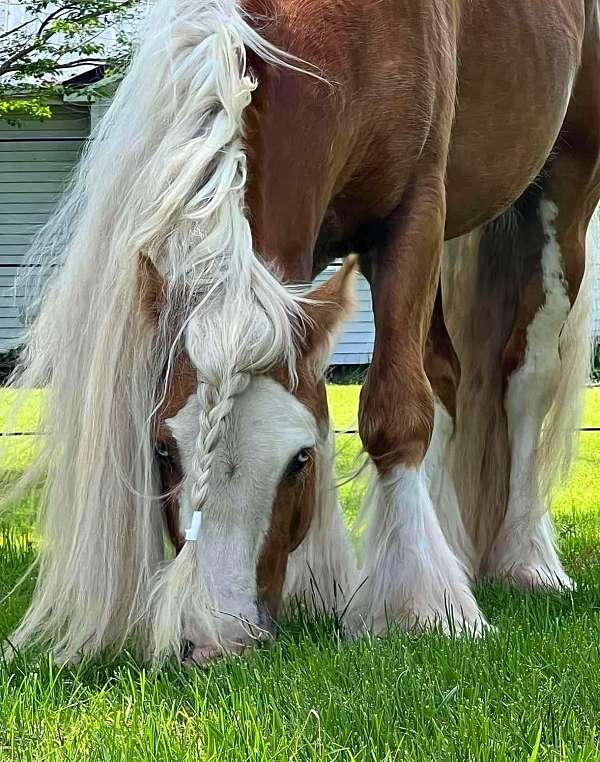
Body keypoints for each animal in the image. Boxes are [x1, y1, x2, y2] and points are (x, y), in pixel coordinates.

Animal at [3, 0, 599, 665]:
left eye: (299, 461)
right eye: (162, 449)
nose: (216, 638)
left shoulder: (415, 214)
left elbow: (395, 412)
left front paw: (424, 607)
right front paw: (326, 583)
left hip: (565, 191)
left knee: (528, 374)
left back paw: (526, 560)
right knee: (447, 376)